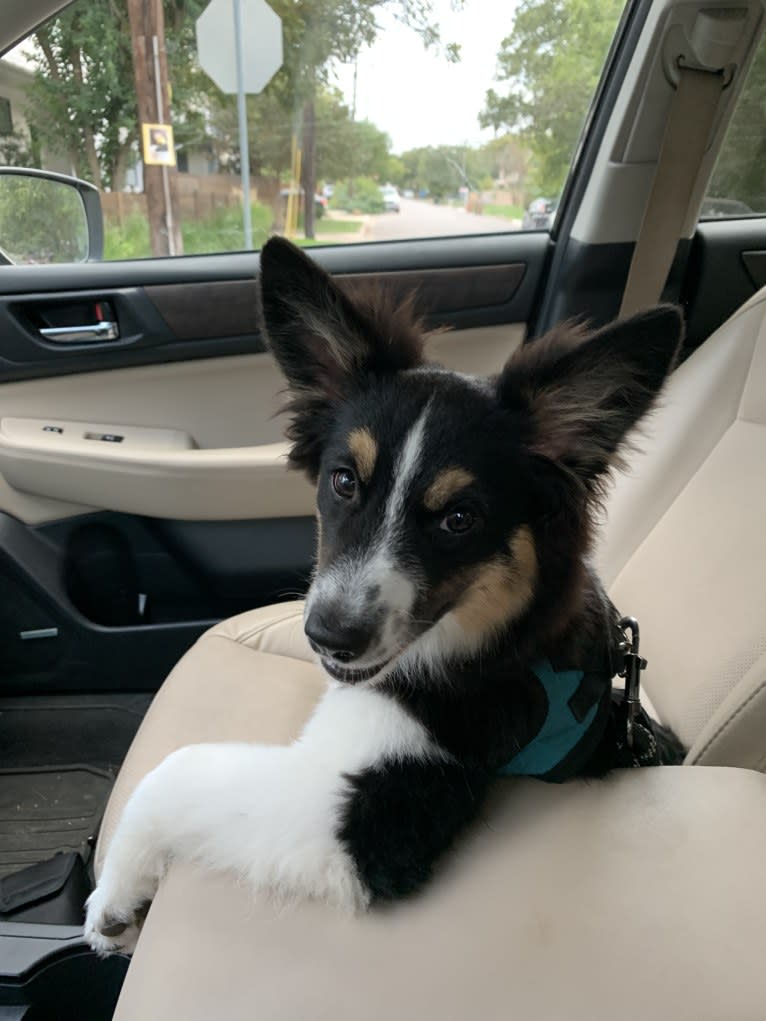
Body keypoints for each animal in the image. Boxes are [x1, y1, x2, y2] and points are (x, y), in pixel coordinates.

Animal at [86, 238, 686, 955]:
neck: (492, 645)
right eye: (344, 481)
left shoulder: (378, 814)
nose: (330, 636)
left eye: (459, 519)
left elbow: (177, 767)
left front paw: (115, 892)